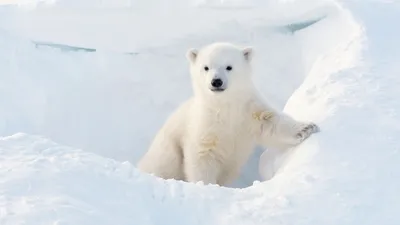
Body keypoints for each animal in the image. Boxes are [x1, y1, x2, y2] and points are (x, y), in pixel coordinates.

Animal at [138, 42, 318, 186]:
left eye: (229, 67)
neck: (225, 106)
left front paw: (307, 128)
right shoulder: (204, 125)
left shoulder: (248, 109)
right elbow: (201, 157)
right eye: (206, 67)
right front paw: (206, 185)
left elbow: (269, 122)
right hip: (166, 151)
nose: (216, 81)